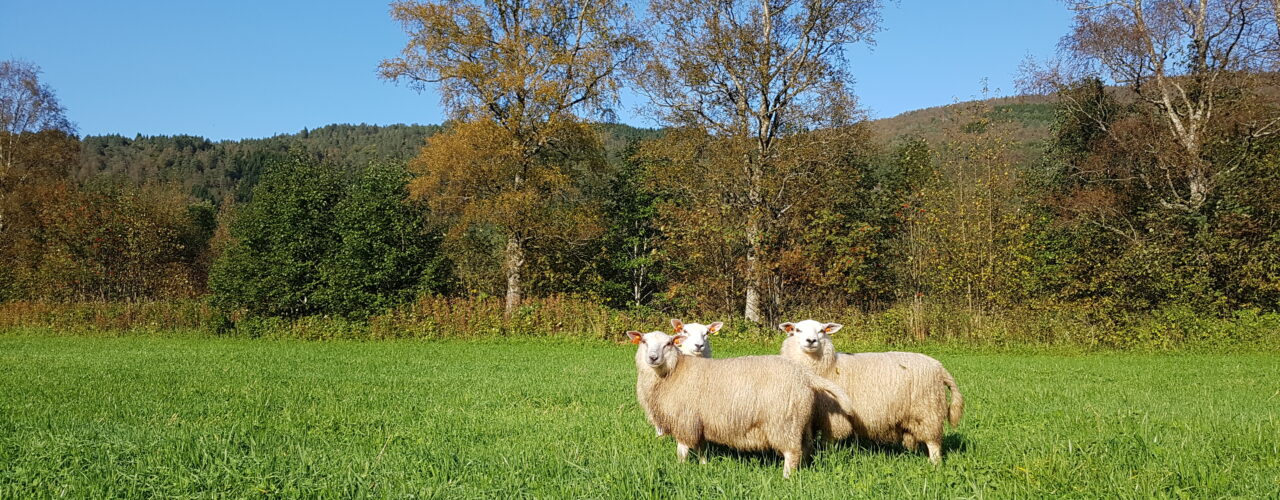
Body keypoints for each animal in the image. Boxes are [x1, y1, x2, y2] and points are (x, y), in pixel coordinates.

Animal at [624, 329, 855, 480]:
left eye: (669, 344)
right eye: (643, 341)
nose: (653, 357)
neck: (673, 372)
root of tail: (804, 374)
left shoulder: (685, 419)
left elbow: (683, 449)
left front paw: (680, 469)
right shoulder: (699, 420)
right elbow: (700, 447)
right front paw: (703, 466)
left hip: (783, 422)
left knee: (792, 452)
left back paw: (786, 478)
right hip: (800, 419)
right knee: (805, 447)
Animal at [773, 320, 962, 465]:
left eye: (821, 330)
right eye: (797, 330)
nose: (811, 340)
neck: (827, 367)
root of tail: (940, 367)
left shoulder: (832, 417)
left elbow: (828, 441)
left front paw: (828, 456)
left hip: (927, 410)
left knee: (933, 442)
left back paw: (935, 465)